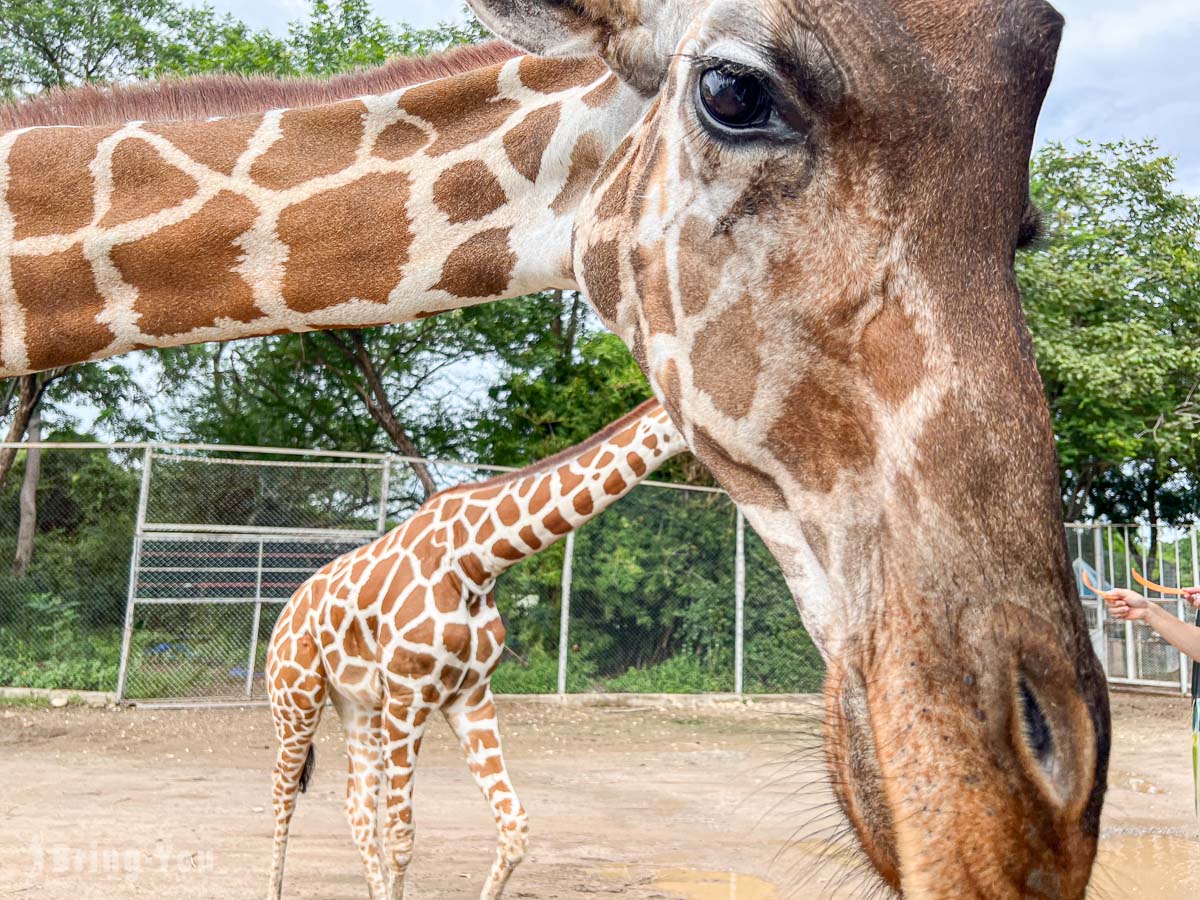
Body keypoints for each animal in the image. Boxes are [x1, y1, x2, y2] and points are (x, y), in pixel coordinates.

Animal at [270, 400, 686, 900]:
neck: (476, 560)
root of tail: (284, 614)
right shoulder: (409, 695)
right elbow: (401, 835)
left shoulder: (471, 696)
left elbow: (514, 826)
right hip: (295, 700)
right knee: (282, 795)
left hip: (356, 704)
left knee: (356, 806)